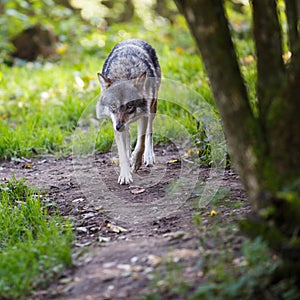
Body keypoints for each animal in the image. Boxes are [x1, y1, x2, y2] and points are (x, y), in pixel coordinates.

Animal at [96, 38, 162, 184]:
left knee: (149, 132)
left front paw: (136, 161)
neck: (124, 74)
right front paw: (125, 175)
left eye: (130, 106)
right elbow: (122, 153)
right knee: (128, 137)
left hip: (153, 107)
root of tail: (133, 38)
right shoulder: (115, 124)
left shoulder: (144, 115)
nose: (119, 126)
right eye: (113, 106)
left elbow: (141, 143)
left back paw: (148, 156)